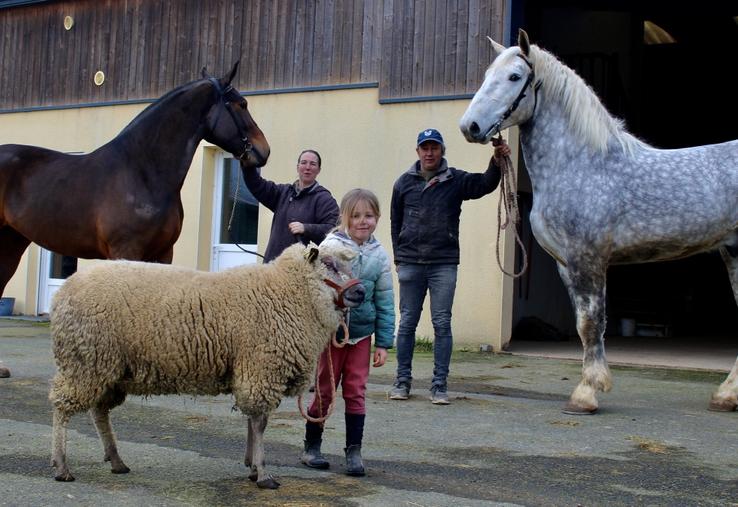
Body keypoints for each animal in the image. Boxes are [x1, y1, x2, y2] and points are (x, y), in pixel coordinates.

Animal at [0, 60, 270, 298]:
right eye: (242, 104)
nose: (264, 150)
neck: (142, 171)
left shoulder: (163, 253)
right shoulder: (126, 251)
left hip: (12, 242)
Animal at [49, 244, 366, 490]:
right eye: (328, 264)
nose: (361, 292)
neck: (288, 293)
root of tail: (62, 292)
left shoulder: (251, 369)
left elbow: (252, 421)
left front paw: (253, 468)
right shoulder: (260, 368)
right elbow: (260, 423)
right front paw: (263, 474)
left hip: (109, 369)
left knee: (99, 412)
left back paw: (116, 461)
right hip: (85, 361)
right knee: (62, 408)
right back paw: (62, 466)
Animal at [458, 29, 736, 414]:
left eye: (514, 76)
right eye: (486, 75)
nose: (470, 127)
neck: (582, 164)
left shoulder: (588, 259)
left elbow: (591, 323)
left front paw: (585, 394)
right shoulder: (566, 264)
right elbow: (582, 324)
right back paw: (726, 397)